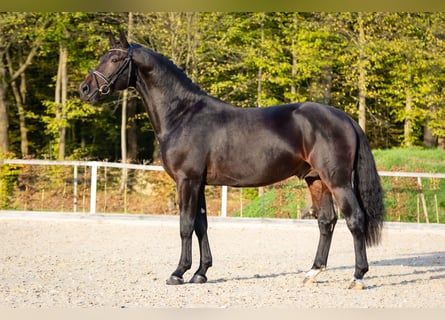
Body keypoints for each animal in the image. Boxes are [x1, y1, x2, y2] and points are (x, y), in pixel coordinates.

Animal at [78, 30, 384, 290]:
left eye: (115, 59)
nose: (84, 89)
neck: (182, 114)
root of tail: (345, 118)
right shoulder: (199, 183)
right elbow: (201, 225)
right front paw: (201, 273)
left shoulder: (187, 181)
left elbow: (185, 225)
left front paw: (178, 273)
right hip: (315, 179)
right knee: (326, 221)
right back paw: (312, 272)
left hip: (338, 180)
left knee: (355, 219)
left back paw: (358, 277)